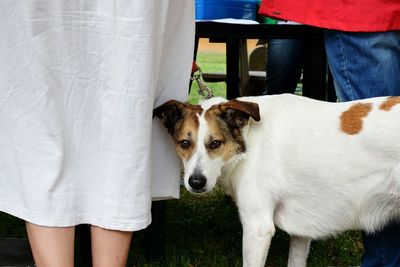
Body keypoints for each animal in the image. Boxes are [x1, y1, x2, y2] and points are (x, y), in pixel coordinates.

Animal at [153, 94, 400, 267]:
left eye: (215, 144)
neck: (249, 139)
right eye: (184, 143)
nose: (196, 182)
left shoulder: (257, 229)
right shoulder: (302, 232)